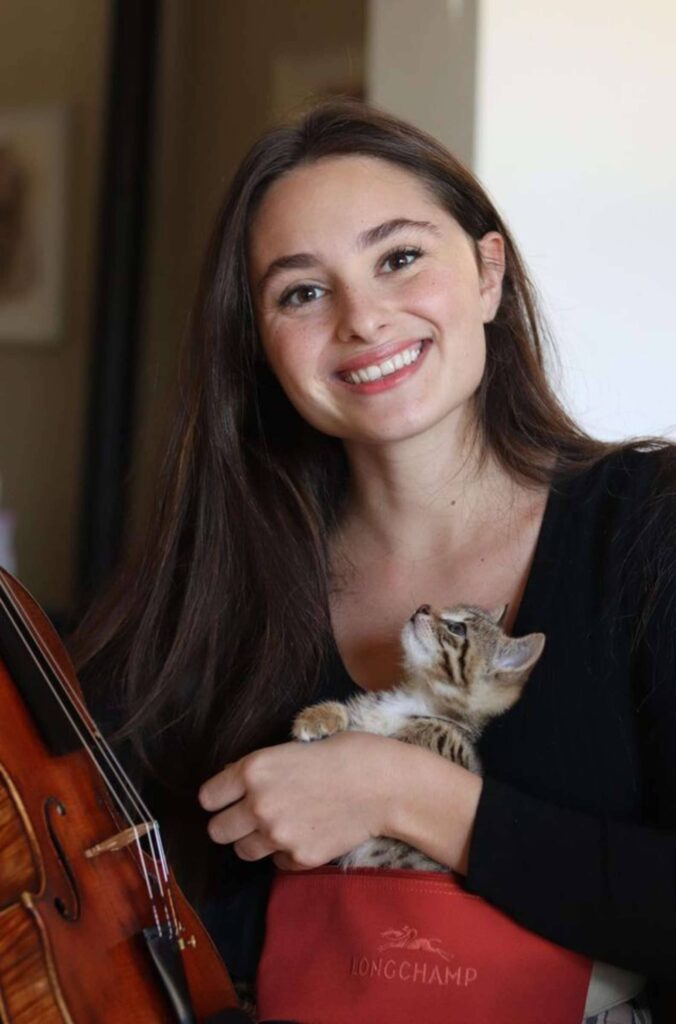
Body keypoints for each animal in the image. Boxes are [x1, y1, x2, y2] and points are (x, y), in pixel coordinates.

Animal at [292, 598, 544, 872]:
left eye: (457, 628)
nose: (423, 606)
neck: (419, 695)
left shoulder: (463, 759)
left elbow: (442, 731)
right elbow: (353, 716)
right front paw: (317, 717)